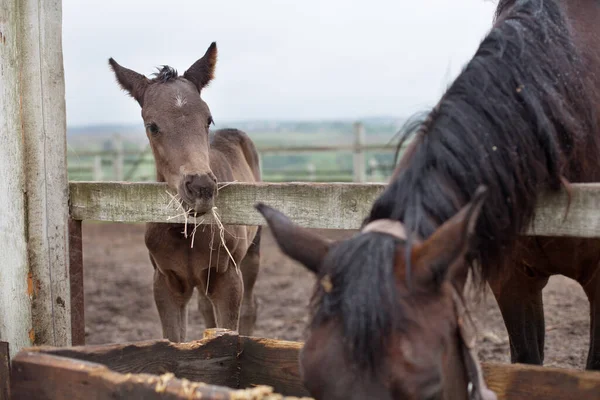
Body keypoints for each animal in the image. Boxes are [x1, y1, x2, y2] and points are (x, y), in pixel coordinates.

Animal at [108, 43, 262, 340]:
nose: (200, 188)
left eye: (208, 119)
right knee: (205, 307)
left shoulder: (228, 279)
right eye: (152, 126)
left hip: (252, 252)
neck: (185, 230)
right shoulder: (166, 282)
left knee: (250, 306)